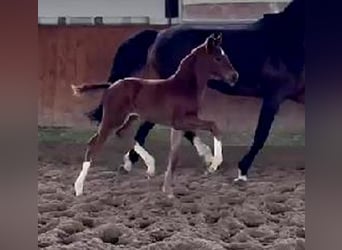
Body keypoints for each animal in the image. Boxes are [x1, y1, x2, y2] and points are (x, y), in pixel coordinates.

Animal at [72, 33, 238, 197]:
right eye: (218, 58)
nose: (234, 76)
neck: (184, 86)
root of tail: (111, 85)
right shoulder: (181, 121)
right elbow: (214, 126)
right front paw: (214, 164)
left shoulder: (178, 126)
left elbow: (174, 155)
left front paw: (168, 190)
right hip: (113, 118)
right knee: (94, 144)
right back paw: (79, 188)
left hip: (130, 117)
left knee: (123, 134)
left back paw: (150, 166)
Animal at [83, 0, 304, 182]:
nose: (234, 76)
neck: (290, 40)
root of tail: (158, 35)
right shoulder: (274, 96)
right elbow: (261, 135)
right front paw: (242, 171)